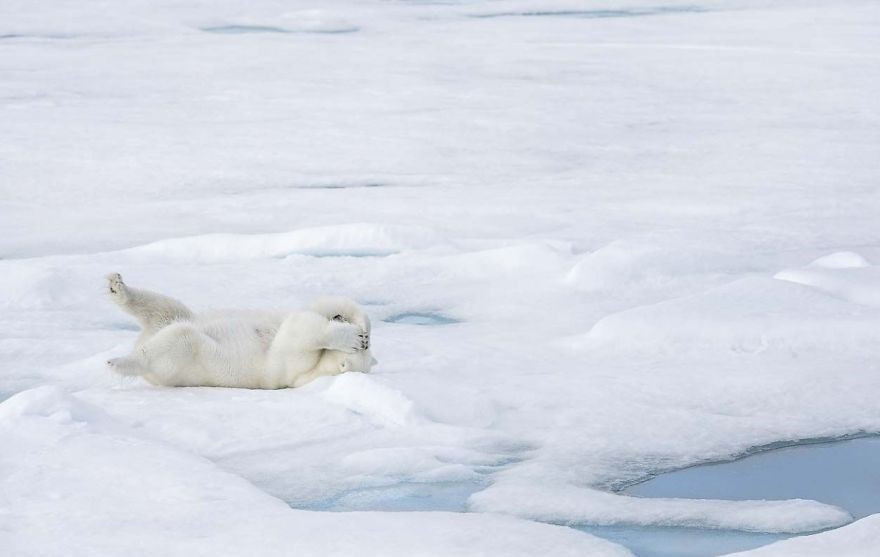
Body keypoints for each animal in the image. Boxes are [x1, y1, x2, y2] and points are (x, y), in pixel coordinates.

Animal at [105, 272, 376, 386]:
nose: (340, 319)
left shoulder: (293, 368)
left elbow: (297, 332)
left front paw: (350, 337)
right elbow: (315, 308)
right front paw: (357, 324)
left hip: (184, 361)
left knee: (180, 338)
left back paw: (119, 362)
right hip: (175, 316)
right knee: (165, 308)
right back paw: (117, 287)